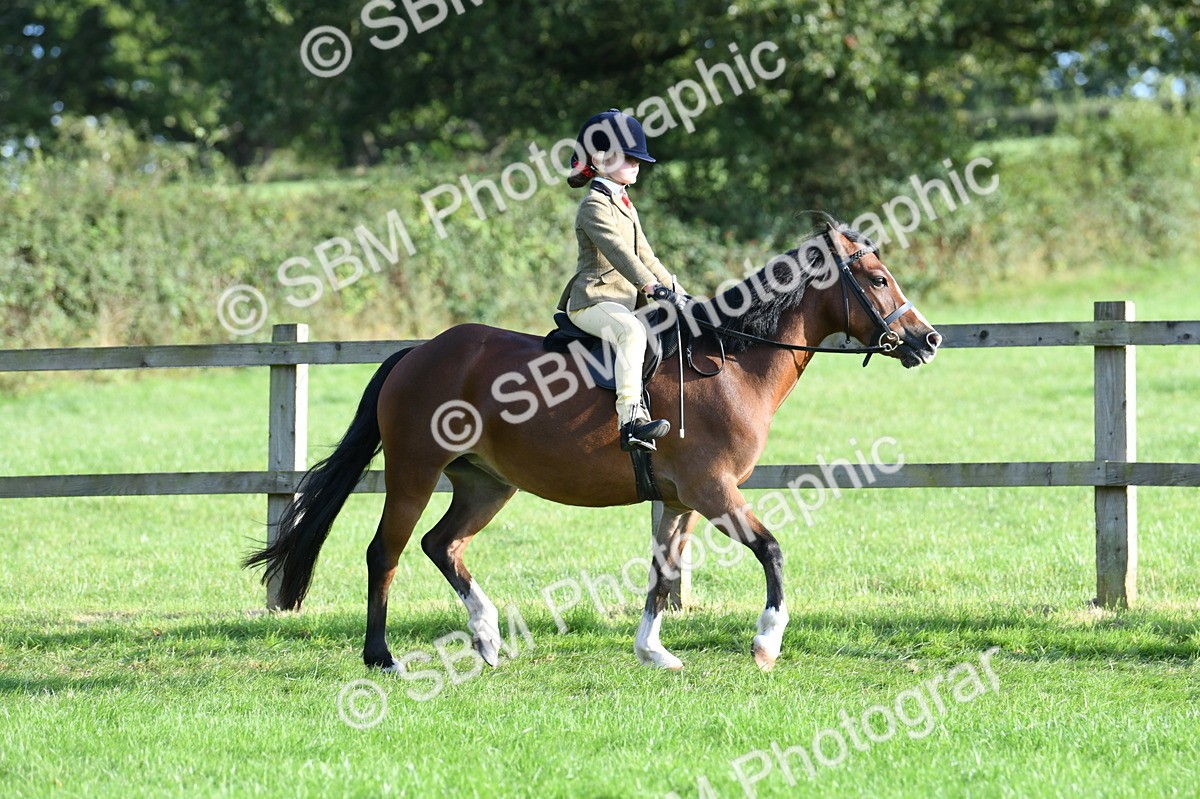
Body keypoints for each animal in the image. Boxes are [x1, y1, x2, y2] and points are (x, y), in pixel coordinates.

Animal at [244, 220, 942, 672]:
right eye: (877, 278)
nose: (928, 340)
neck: (730, 361)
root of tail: (418, 352)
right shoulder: (714, 491)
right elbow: (770, 550)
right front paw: (766, 643)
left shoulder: (681, 499)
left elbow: (662, 575)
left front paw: (652, 652)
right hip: (413, 474)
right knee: (384, 553)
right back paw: (381, 656)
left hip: (485, 484)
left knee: (442, 545)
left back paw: (487, 638)